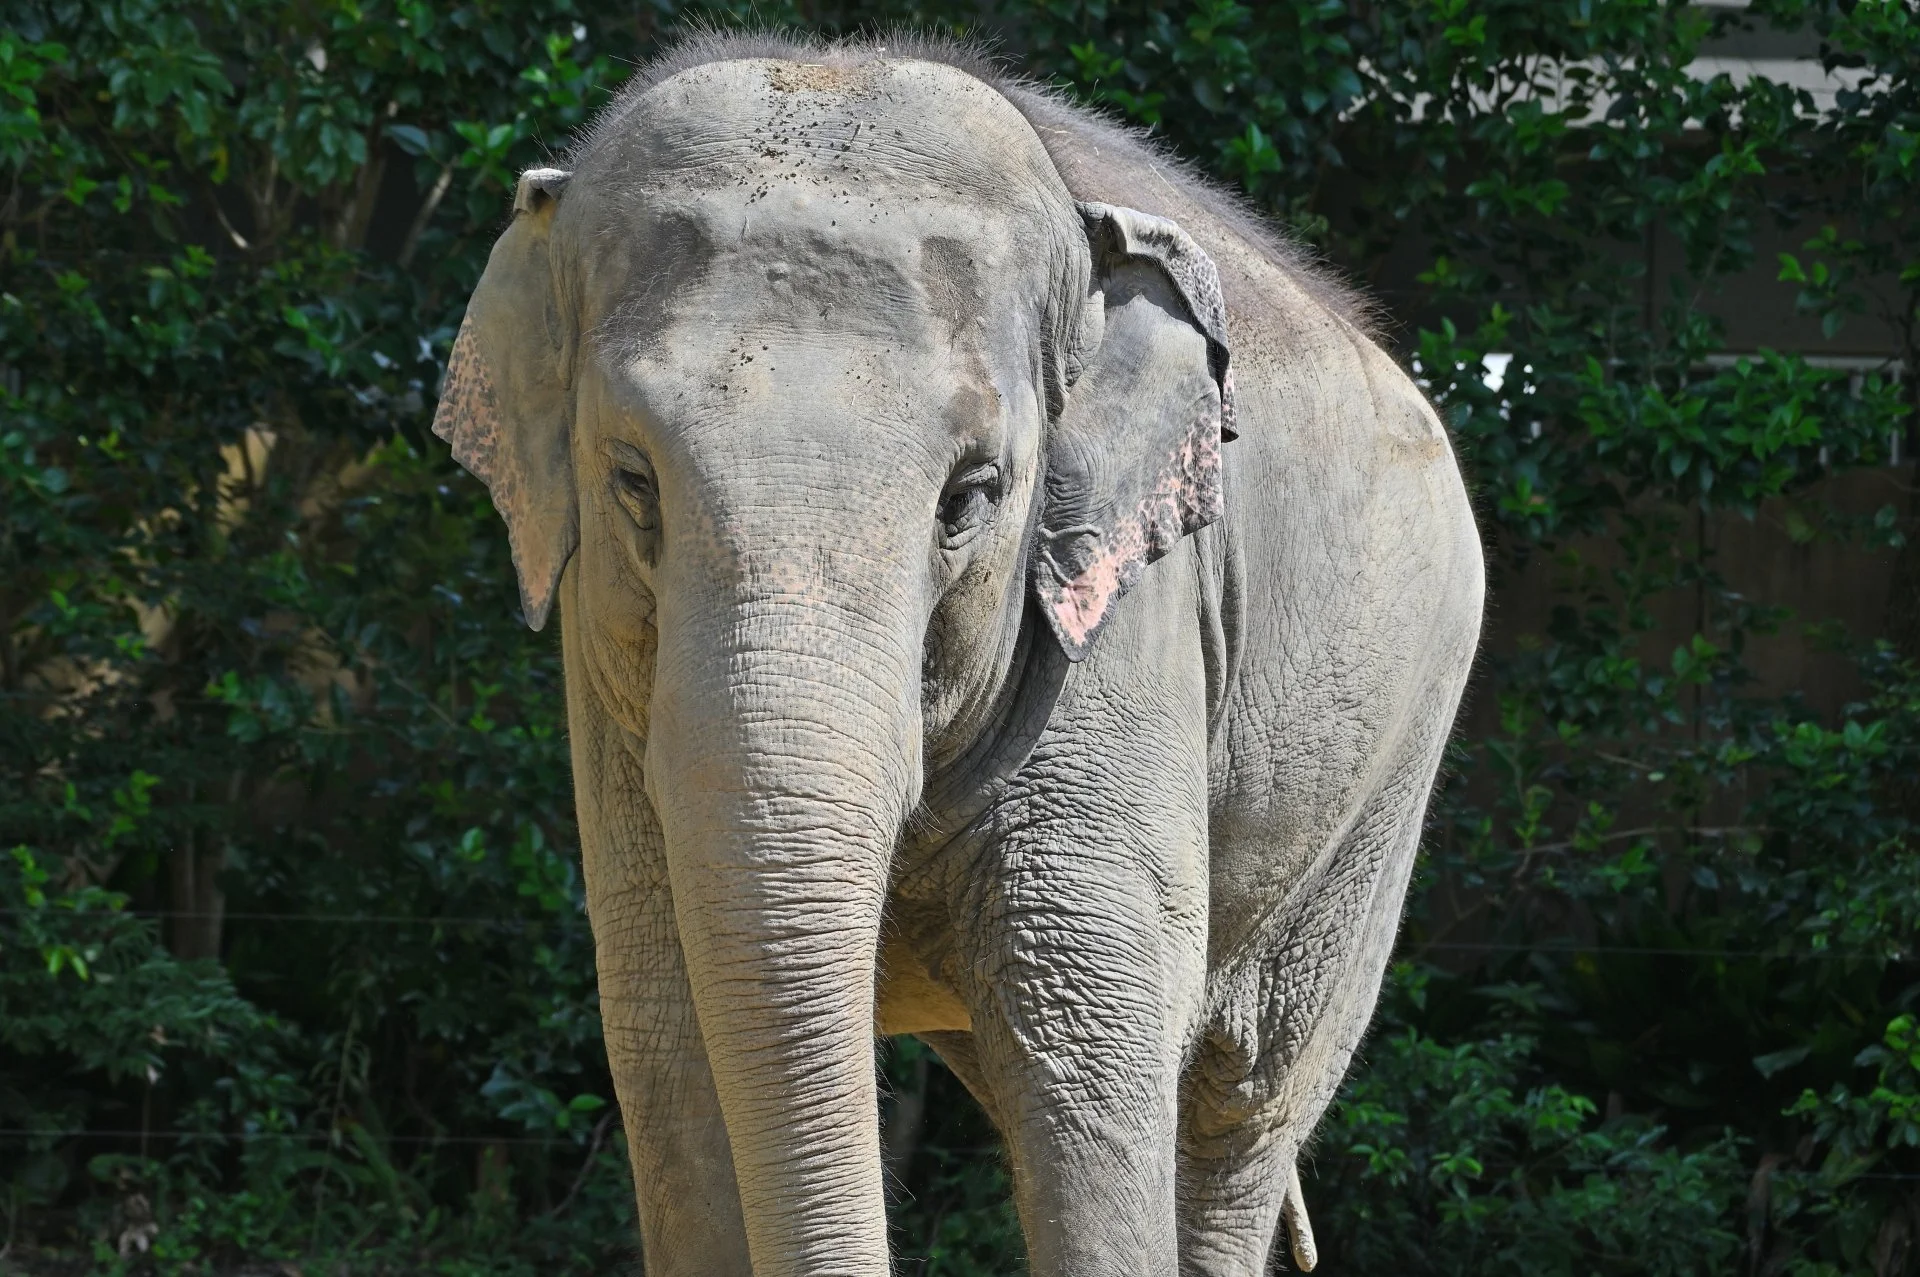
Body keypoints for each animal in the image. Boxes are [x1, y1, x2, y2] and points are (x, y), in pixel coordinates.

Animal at [432, 31, 1483, 1277]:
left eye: (971, 496)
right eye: (633, 481)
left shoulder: (1122, 621)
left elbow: (1085, 1032)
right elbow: (666, 1033)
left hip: (1387, 782)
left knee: (1242, 1100)